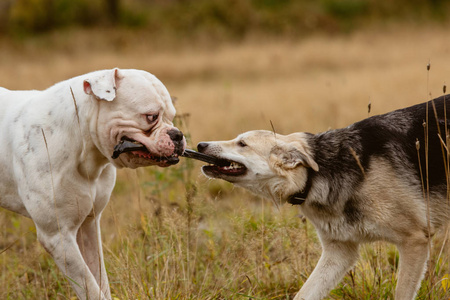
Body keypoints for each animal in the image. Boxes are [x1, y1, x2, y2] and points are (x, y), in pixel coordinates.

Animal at [0, 68, 185, 300]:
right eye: (151, 117)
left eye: (172, 116)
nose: (178, 135)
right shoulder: (58, 237)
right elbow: (90, 286)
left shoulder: (88, 225)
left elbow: (100, 279)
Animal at [199, 95, 450, 300]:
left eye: (242, 144)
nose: (200, 144)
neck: (319, 174)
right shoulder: (339, 253)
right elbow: (302, 294)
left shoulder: (415, 241)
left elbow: (401, 294)